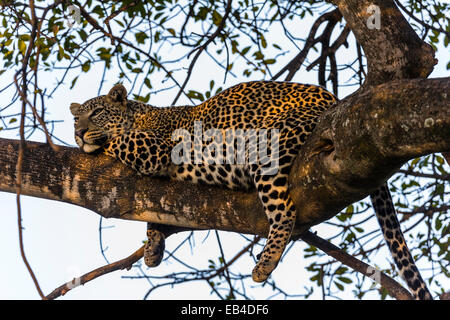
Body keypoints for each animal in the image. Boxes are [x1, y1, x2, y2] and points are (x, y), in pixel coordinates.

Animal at [69, 81, 432, 298]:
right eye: (75, 119)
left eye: (97, 113)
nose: (78, 132)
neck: (141, 115)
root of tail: (335, 100)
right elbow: (154, 210)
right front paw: (153, 247)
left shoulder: (155, 147)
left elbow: (117, 142)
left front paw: (94, 143)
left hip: (270, 147)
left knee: (284, 212)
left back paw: (265, 263)